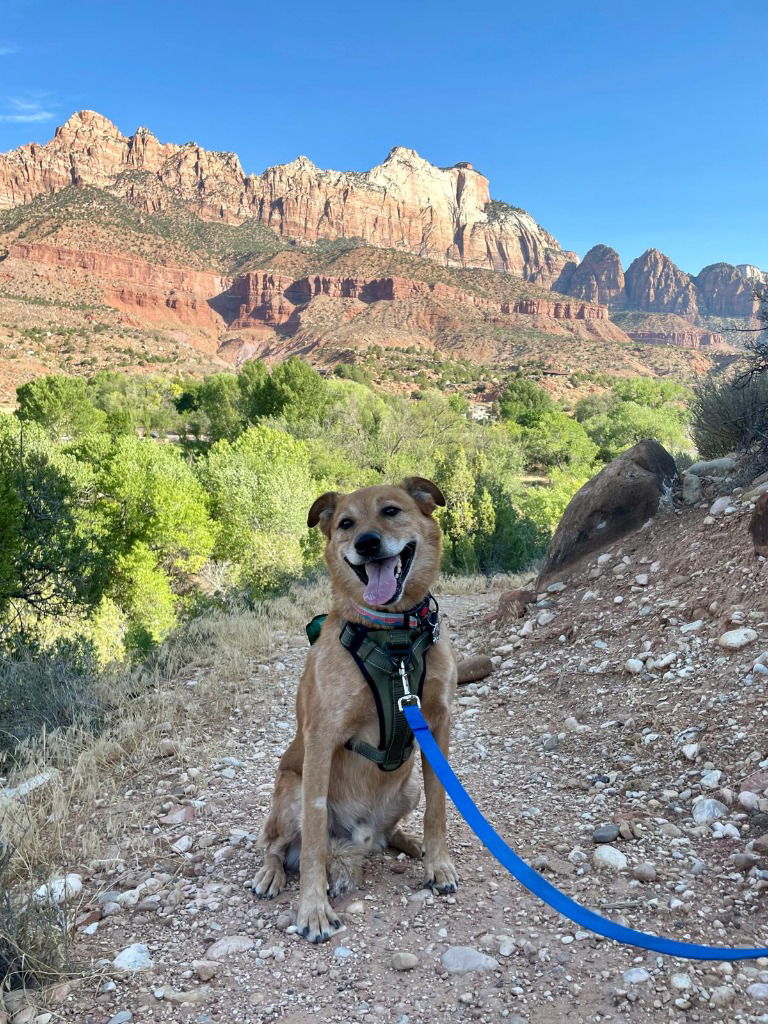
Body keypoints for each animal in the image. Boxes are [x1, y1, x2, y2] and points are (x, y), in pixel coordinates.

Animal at [252, 479, 460, 942]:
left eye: (391, 511)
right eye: (346, 524)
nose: (366, 544)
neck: (393, 637)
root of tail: (357, 838)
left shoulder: (437, 724)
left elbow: (438, 808)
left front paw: (437, 863)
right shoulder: (321, 739)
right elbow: (313, 841)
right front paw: (313, 909)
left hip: (407, 789)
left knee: (388, 833)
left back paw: (410, 843)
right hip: (290, 789)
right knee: (274, 846)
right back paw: (271, 874)